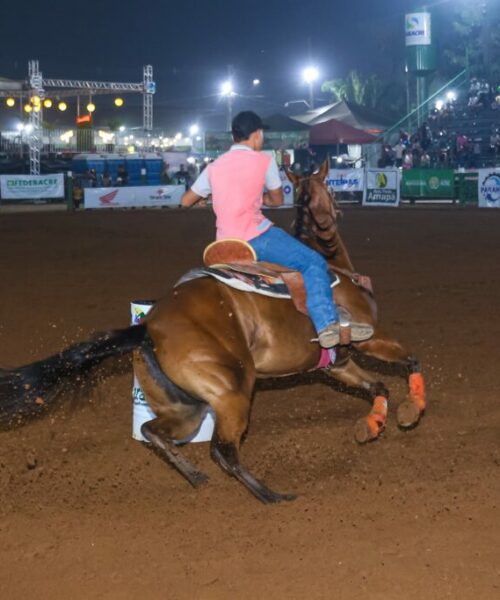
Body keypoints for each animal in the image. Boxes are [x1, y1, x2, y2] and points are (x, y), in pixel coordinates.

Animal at [0, 159, 426, 502]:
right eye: (331, 187)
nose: (339, 207)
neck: (331, 265)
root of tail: (148, 327)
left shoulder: (336, 365)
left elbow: (378, 386)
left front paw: (371, 426)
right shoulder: (370, 338)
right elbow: (410, 361)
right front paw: (410, 413)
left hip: (186, 405)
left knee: (155, 431)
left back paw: (196, 479)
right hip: (232, 392)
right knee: (223, 450)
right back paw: (272, 495)